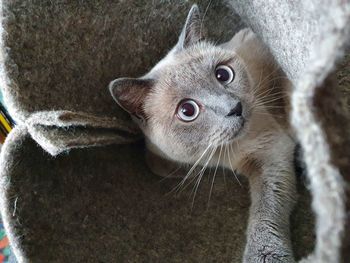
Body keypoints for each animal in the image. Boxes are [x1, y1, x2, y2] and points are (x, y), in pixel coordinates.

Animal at [108, 4, 296, 263]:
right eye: (188, 111)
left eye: (223, 75)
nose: (234, 108)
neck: (219, 154)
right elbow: (154, 162)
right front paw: (189, 170)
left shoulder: (270, 150)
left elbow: (265, 209)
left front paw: (266, 256)